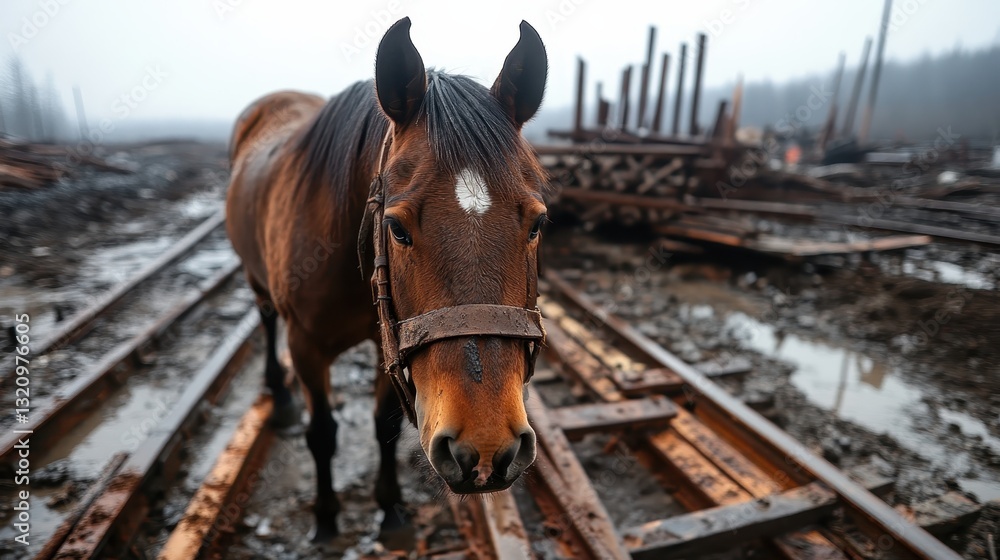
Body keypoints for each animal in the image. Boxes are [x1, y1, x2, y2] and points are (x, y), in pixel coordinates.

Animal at [225, 17, 549, 540]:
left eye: (537, 223)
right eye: (397, 228)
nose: (485, 447)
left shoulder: (393, 339)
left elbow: (385, 425)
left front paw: (391, 509)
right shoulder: (305, 346)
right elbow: (322, 433)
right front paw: (326, 516)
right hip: (257, 281)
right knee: (266, 319)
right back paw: (281, 398)